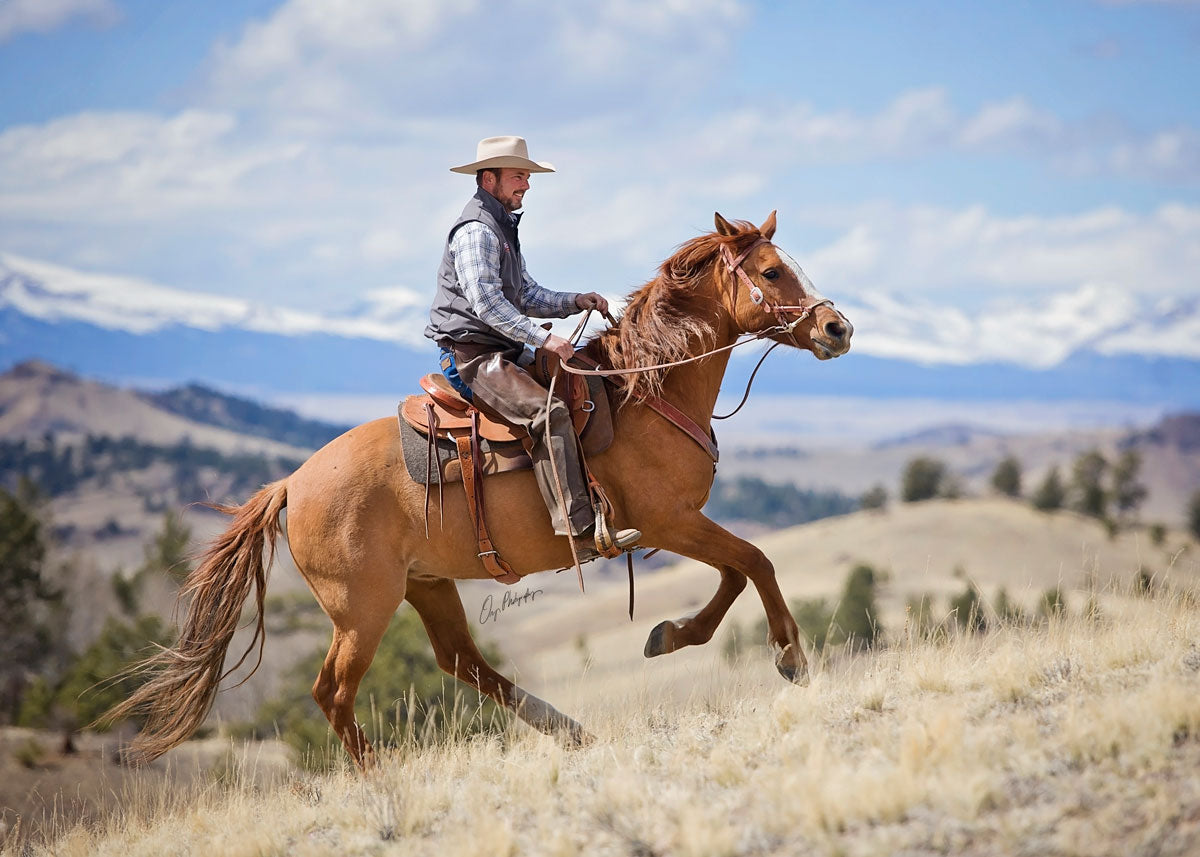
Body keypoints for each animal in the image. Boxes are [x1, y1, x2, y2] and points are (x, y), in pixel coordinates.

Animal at [105, 210, 854, 763]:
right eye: (770, 271)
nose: (837, 327)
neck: (648, 388)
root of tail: (292, 483)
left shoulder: (678, 524)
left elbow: (735, 573)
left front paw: (670, 634)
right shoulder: (669, 521)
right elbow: (756, 560)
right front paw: (790, 657)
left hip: (427, 584)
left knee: (462, 662)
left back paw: (570, 731)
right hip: (362, 608)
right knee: (333, 692)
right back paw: (381, 777)